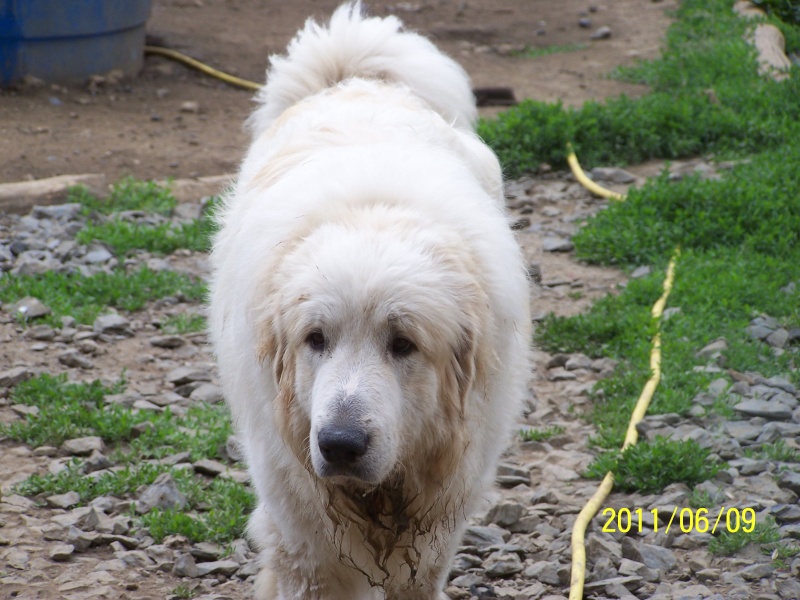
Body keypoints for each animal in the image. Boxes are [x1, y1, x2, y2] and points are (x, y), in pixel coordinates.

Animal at [209, 2, 528, 596]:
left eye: (403, 344)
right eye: (315, 340)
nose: (339, 444)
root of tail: (351, 77)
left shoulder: (440, 520)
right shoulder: (302, 537)